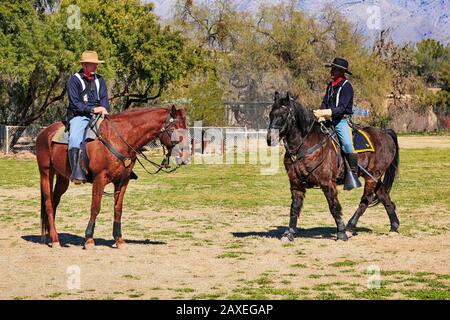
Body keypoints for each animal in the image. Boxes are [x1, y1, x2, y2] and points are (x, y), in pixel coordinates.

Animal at [35, 106, 188, 249]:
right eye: (174, 128)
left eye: (186, 128)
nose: (185, 156)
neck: (118, 138)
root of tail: (43, 133)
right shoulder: (99, 179)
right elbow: (95, 208)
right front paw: (89, 239)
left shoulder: (123, 181)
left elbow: (118, 209)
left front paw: (118, 239)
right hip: (46, 173)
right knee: (49, 204)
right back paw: (55, 240)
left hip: (62, 178)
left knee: (54, 202)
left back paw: (50, 236)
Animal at [266, 92, 400, 240]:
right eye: (271, 114)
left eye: (284, 114)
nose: (270, 139)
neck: (305, 144)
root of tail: (385, 133)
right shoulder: (296, 184)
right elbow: (295, 207)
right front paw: (290, 232)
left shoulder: (327, 183)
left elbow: (334, 206)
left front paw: (341, 233)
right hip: (374, 176)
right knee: (383, 195)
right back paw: (394, 226)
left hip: (372, 176)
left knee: (366, 199)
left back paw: (349, 227)